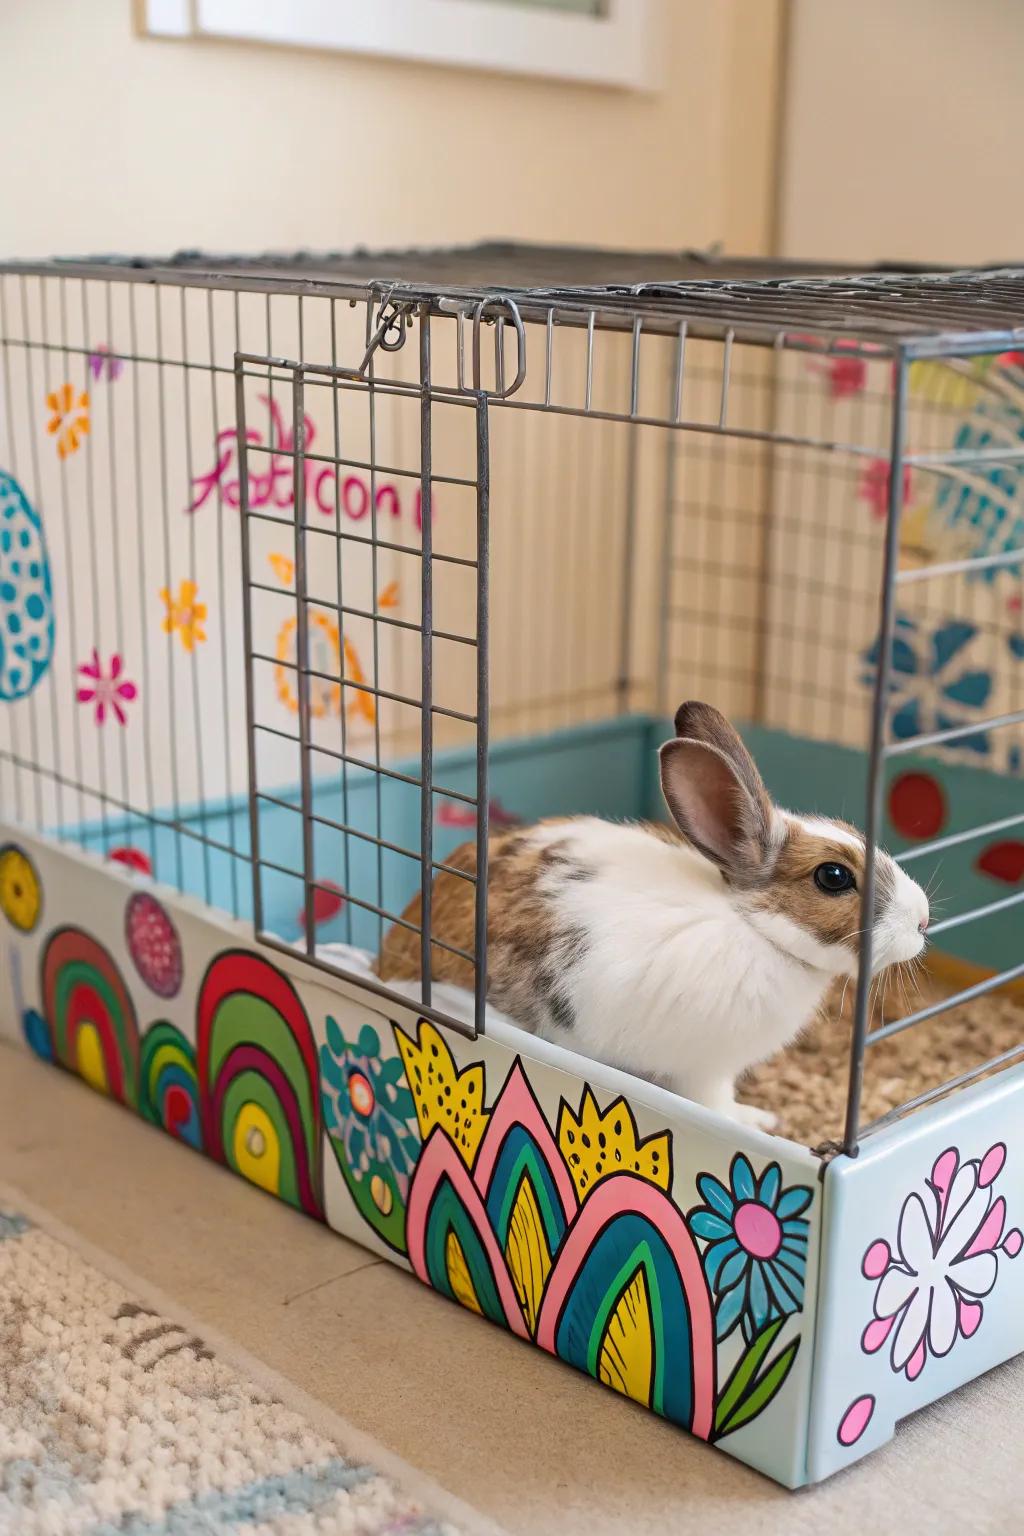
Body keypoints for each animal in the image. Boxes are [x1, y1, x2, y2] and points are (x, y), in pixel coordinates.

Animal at [377, 701, 930, 1131]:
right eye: (833, 877)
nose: (923, 921)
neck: (753, 926)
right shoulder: (705, 1070)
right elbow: (716, 1104)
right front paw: (754, 1121)